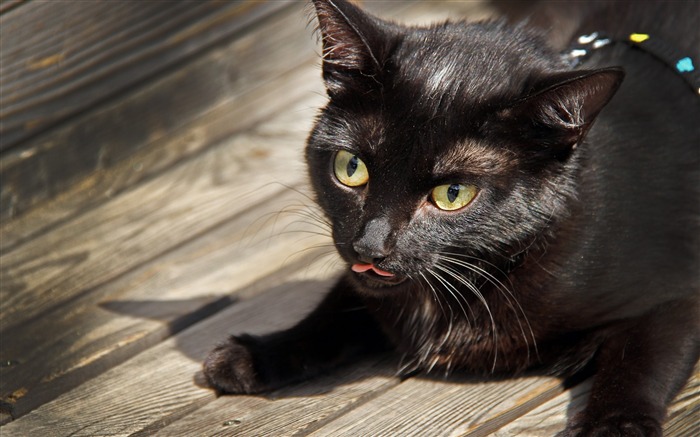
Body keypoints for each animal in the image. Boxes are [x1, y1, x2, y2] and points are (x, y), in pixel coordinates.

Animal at [204, 1, 700, 434]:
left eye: (452, 194)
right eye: (351, 168)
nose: (370, 245)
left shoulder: (679, 288)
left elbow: (639, 361)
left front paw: (615, 426)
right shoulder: (365, 281)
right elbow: (338, 307)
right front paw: (257, 354)